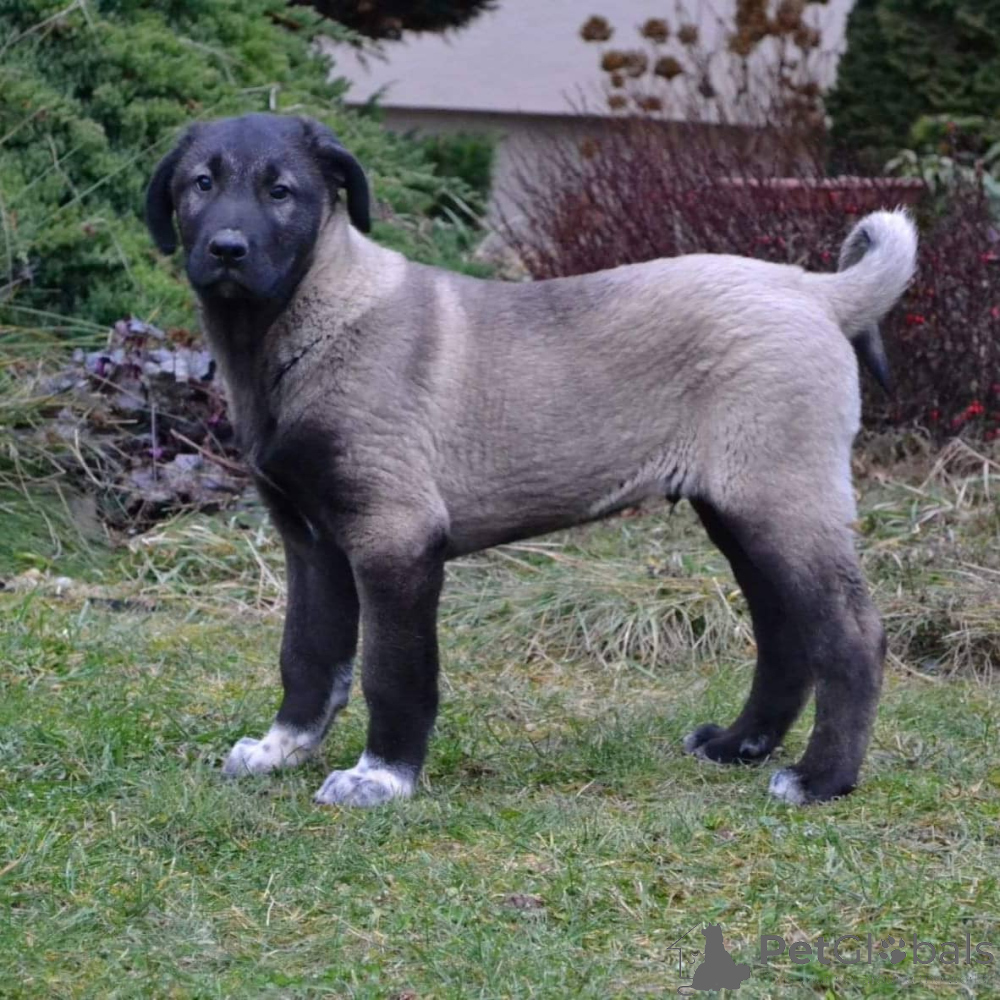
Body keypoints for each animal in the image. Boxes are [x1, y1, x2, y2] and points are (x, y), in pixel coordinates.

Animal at [146, 113, 917, 807]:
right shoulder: (311, 543)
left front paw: (383, 777)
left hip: (780, 498)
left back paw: (823, 779)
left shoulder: (395, 537)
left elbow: (392, 670)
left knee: (852, 635)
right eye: (201, 184)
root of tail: (815, 290)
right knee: (783, 630)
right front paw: (283, 747)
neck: (306, 319)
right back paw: (740, 744)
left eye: (282, 192)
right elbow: (307, 654)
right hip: (738, 507)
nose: (227, 249)